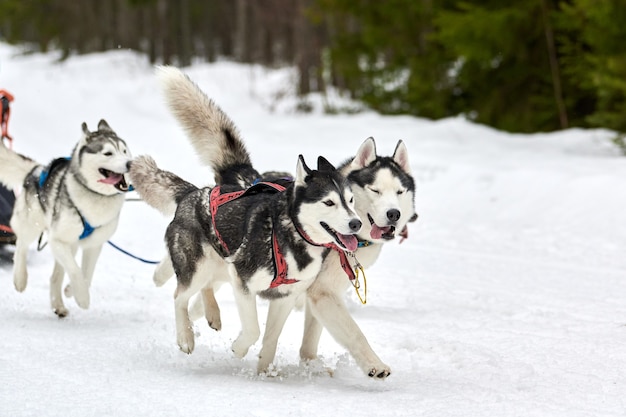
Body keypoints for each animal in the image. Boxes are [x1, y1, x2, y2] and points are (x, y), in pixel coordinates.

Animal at [0, 120, 133, 316]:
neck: (95, 196)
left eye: (124, 151)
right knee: (21, 245)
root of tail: (37, 170)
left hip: (71, 245)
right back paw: (20, 278)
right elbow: (76, 271)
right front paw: (82, 297)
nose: (130, 163)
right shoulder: (58, 239)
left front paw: (71, 290)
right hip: (32, 225)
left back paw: (58, 305)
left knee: (55, 276)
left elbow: (87, 274)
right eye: (108, 153)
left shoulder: (94, 245)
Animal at [129, 153, 358, 358]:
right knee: (179, 297)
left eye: (351, 200)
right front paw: (239, 348)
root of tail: (193, 193)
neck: (290, 232)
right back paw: (185, 337)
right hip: (199, 268)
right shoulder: (243, 282)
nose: (356, 223)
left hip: (221, 264)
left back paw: (212, 313)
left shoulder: (286, 297)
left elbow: (271, 338)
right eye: (329, 202)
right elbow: (253, 330)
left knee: (206, 285)